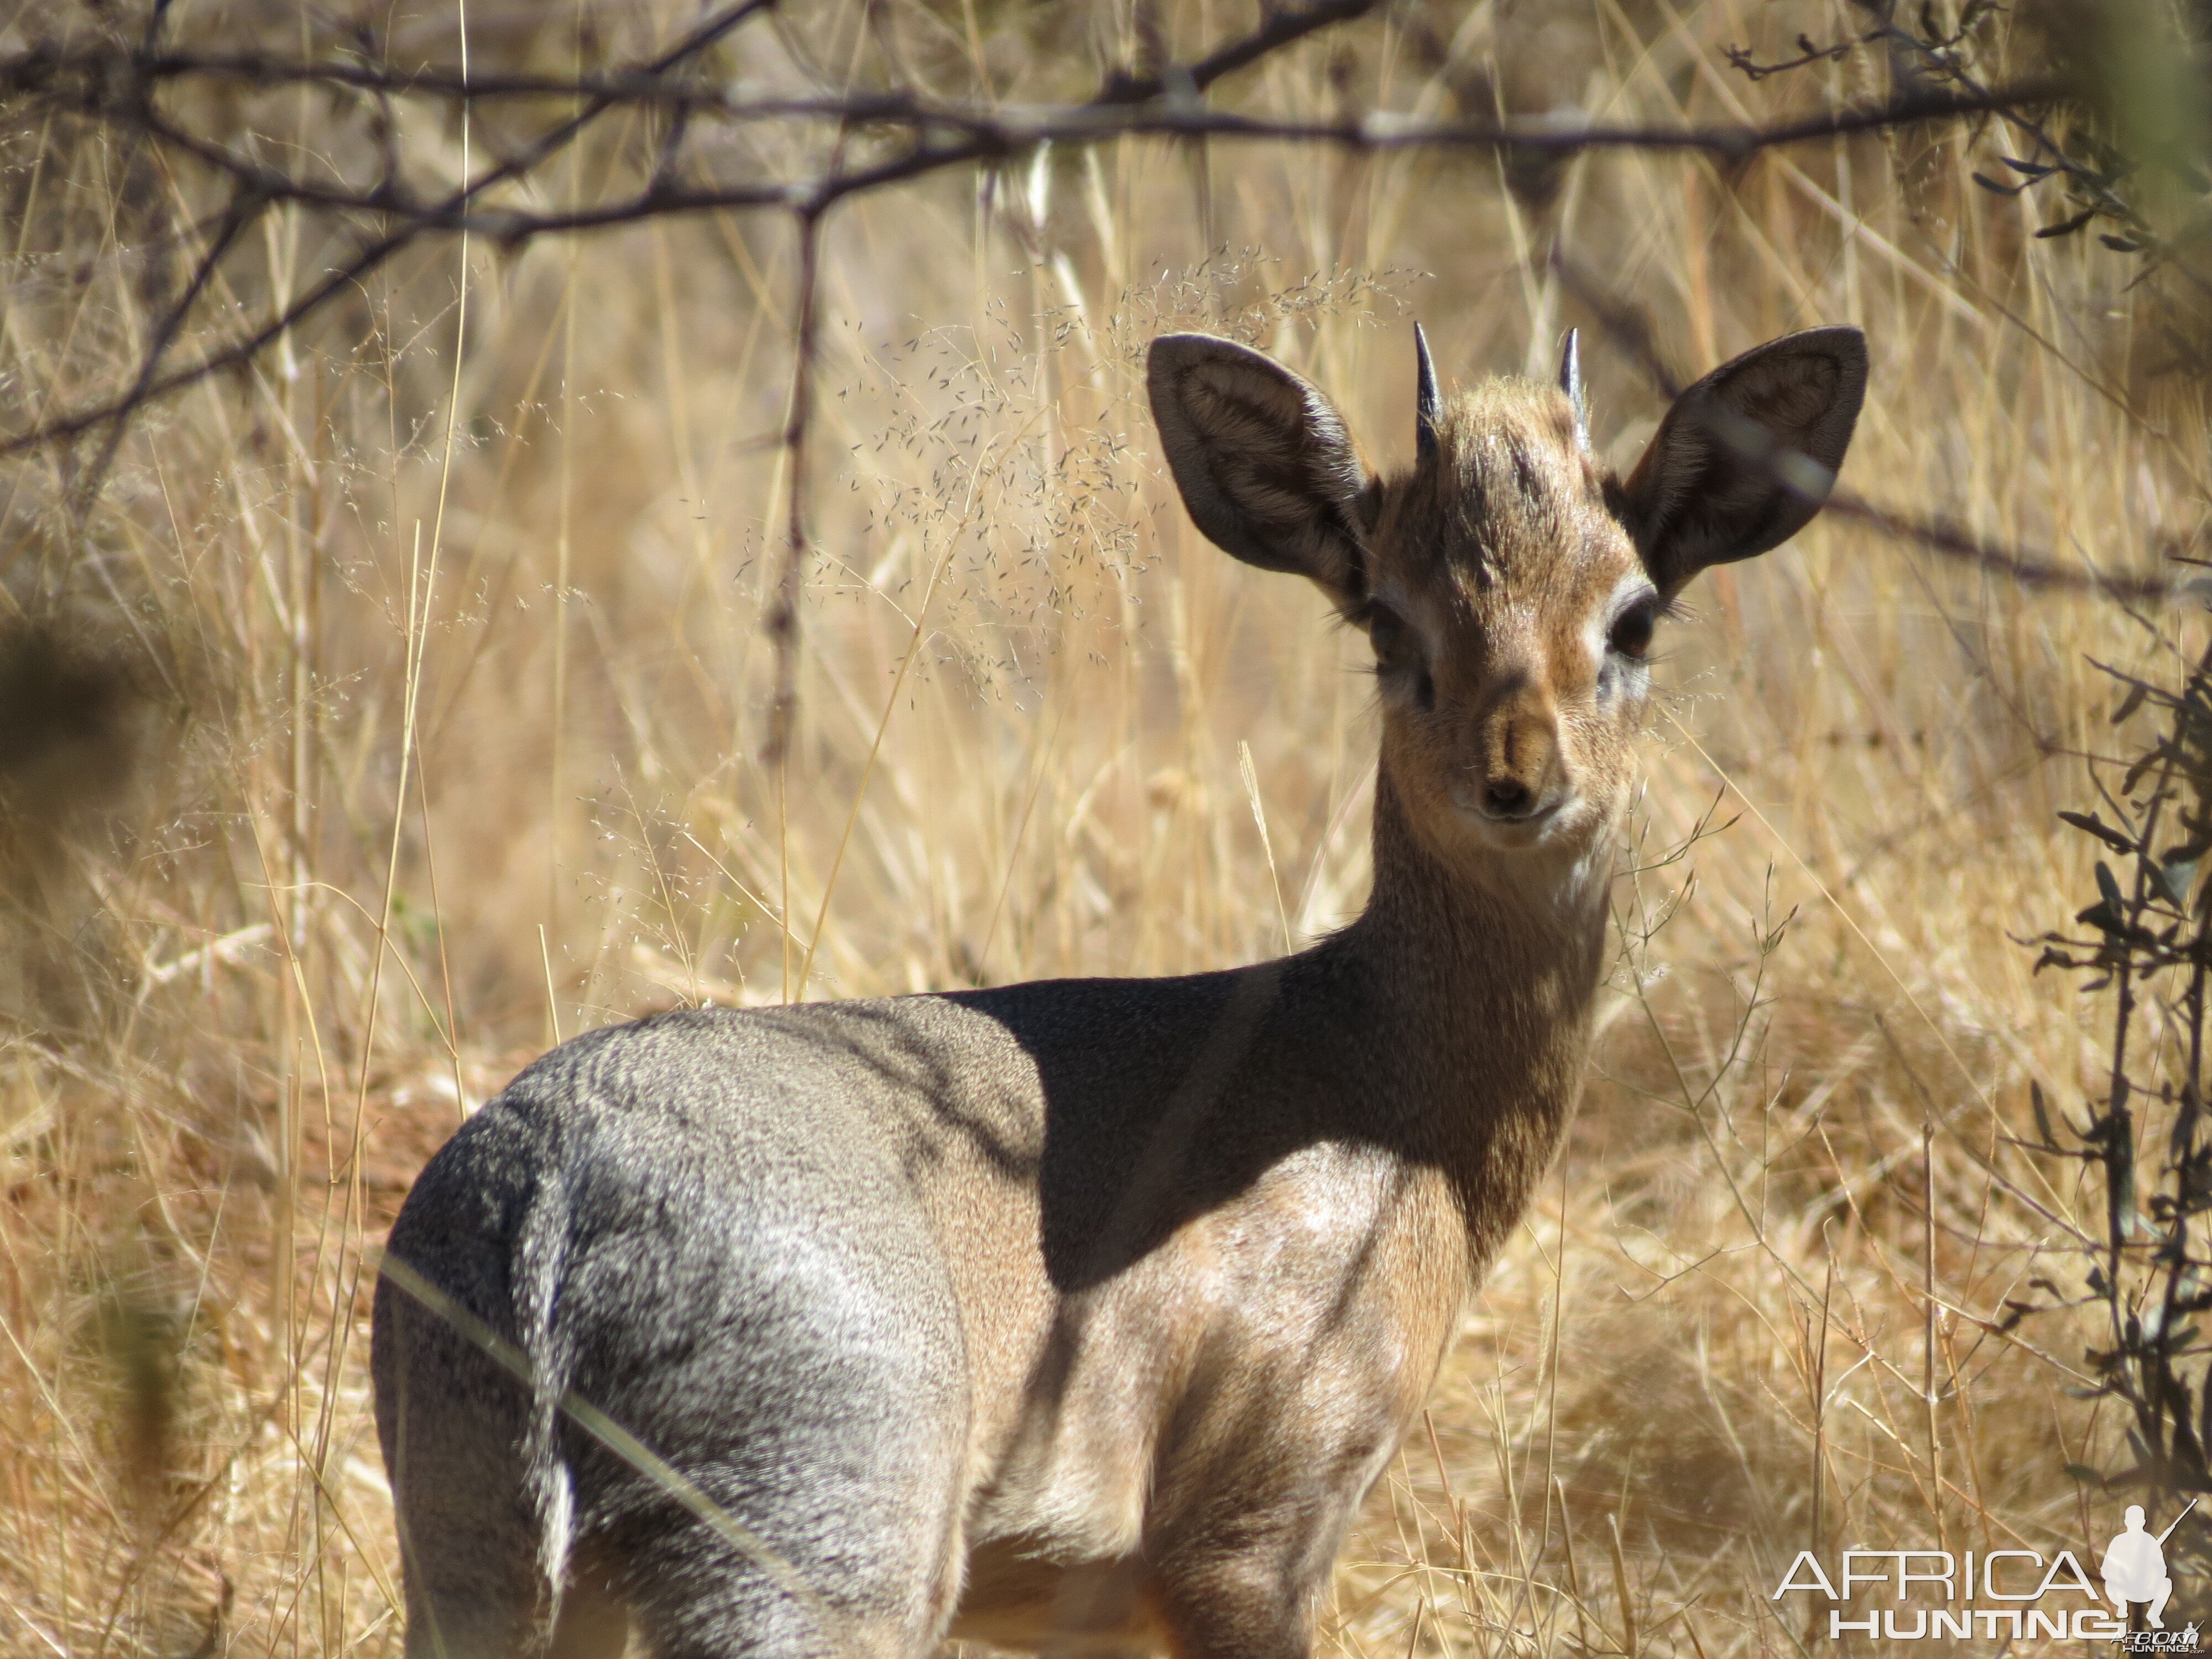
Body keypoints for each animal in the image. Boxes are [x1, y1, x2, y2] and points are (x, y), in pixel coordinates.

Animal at [376, 319, 1867, 1655]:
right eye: (1387, 619)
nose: (1517, 777)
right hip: (817, 1540)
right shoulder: (1251, 1522)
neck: (1391, 1102)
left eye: (1634, 614)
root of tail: (549, 1210)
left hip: (473, 1552)